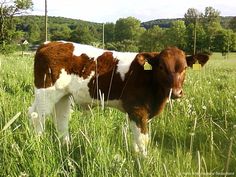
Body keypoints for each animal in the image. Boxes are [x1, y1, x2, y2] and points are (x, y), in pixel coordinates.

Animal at [29, 40, 208, 156]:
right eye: (162, 67)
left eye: (184, 68)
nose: (176, 92)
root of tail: (48, 43)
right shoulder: (137, 110)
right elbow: (143, 139)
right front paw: (144, 162)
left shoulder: (138, 113)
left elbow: (136, 138)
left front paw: (136, 156)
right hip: (46, 92)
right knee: (38, 117)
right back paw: (39, 144)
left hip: (63, 95)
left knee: (60, 118)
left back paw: (66, 145)